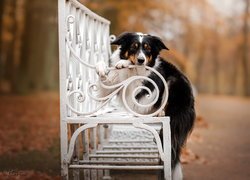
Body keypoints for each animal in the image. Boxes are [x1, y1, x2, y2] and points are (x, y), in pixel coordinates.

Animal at [95, 31, 195, 179]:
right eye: (133, 46)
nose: (141, 60)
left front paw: (123, 63)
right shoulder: (109, 86)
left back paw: (160, 113)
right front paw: (101, 67)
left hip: (173, 81)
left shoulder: (138, 94)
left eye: (147, 48)